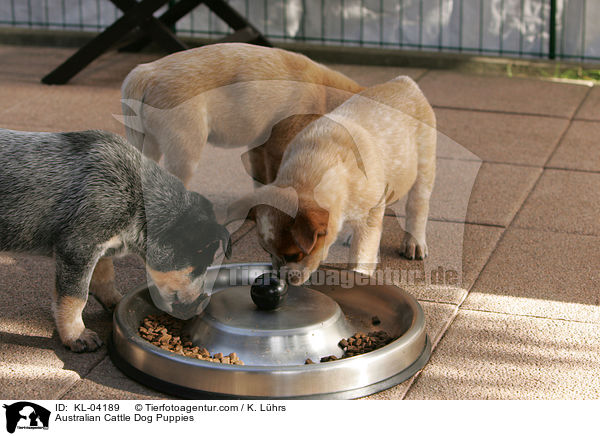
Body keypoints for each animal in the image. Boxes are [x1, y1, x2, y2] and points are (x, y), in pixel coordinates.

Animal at [227, 75, 434, 286]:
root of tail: (403, 81)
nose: (280, 278)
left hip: (424, 166)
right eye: (267, 253)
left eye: (294, 256)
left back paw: (414, 243)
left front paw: (359, 274)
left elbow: (362, 254)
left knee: (417, 206)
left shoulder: (370, 213)